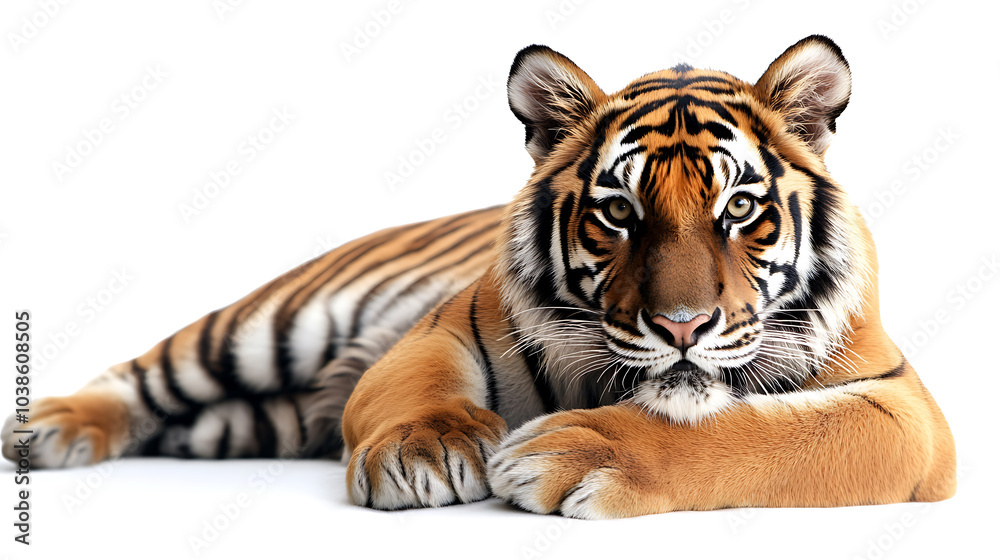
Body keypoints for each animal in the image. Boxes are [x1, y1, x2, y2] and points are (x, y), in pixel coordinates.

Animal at [2, 35, 956, 519]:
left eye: (739, 210)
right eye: (619, 213)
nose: (682, 327)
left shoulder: (901, 405)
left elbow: (762, 435)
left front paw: (574, 450)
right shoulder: (435, 333)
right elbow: (420, 388)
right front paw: (426, 452)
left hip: (254, 420)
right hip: (263, 325)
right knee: (141, 375)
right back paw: (45, 431)